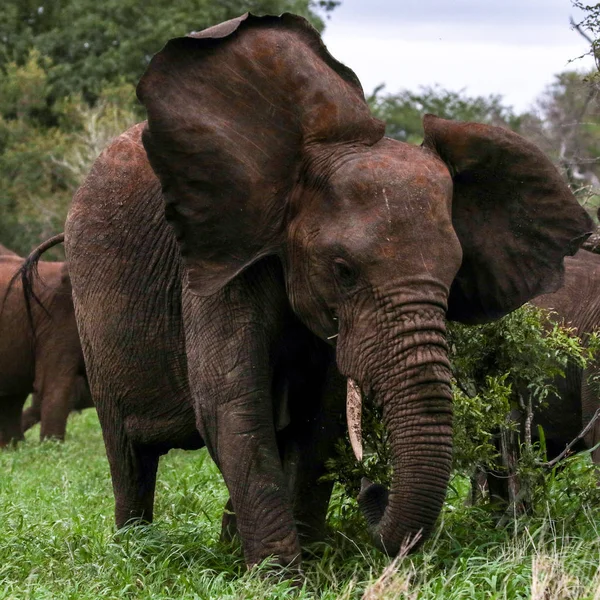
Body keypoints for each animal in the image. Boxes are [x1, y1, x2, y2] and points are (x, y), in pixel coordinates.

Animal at [50, 11, 592, 568]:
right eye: (343, 270)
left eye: (453, 273)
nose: (375, 488)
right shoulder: (218, 257)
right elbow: (231, 405)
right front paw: (280, 576)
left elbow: (322, 419)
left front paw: (314, 563)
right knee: (129, 454)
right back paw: (136, 550)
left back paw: (227, 548)